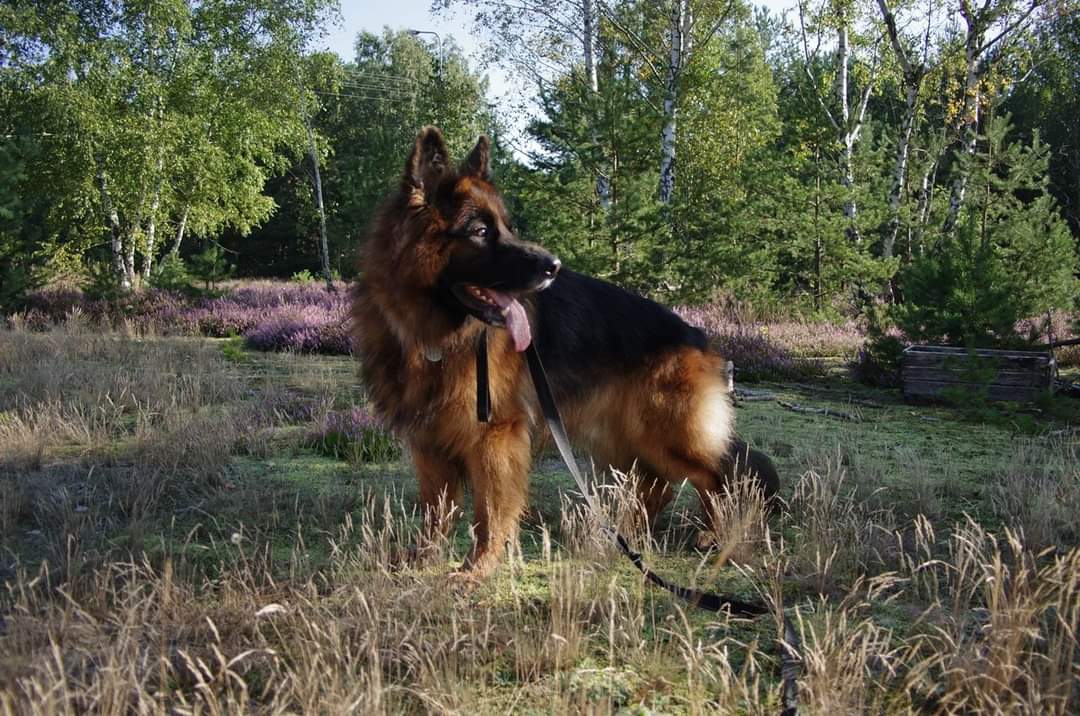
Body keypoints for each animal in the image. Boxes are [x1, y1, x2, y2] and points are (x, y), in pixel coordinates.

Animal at [351, 127, 778, 575]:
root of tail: (697, 335)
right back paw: (627, 537)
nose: (553, 266)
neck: (435, 336)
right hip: (621, 438)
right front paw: (422, 558)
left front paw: (476, 569)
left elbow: (489, 512)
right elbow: (436, 511)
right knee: (657, 485)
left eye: (507, 227)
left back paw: (713, 536)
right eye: (480, 231)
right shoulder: (429, 443)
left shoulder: (494, 437)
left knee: (716, 476)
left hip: (664, 435)